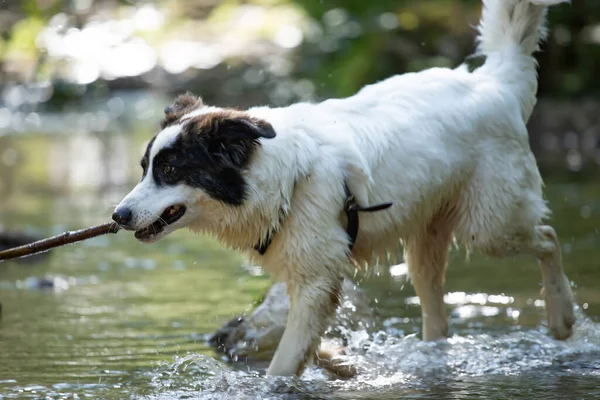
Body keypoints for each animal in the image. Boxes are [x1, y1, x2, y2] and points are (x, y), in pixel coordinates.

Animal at [113, 0, 576, 376]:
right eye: (145, 168)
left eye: (170, 169)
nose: (117, 216)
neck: (278, 180)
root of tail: (494, 83)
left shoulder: (316, 282)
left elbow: (283, 363)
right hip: (425, 243)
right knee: (437, 313)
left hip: (490, 225)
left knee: (549, 237)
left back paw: (562, 317)